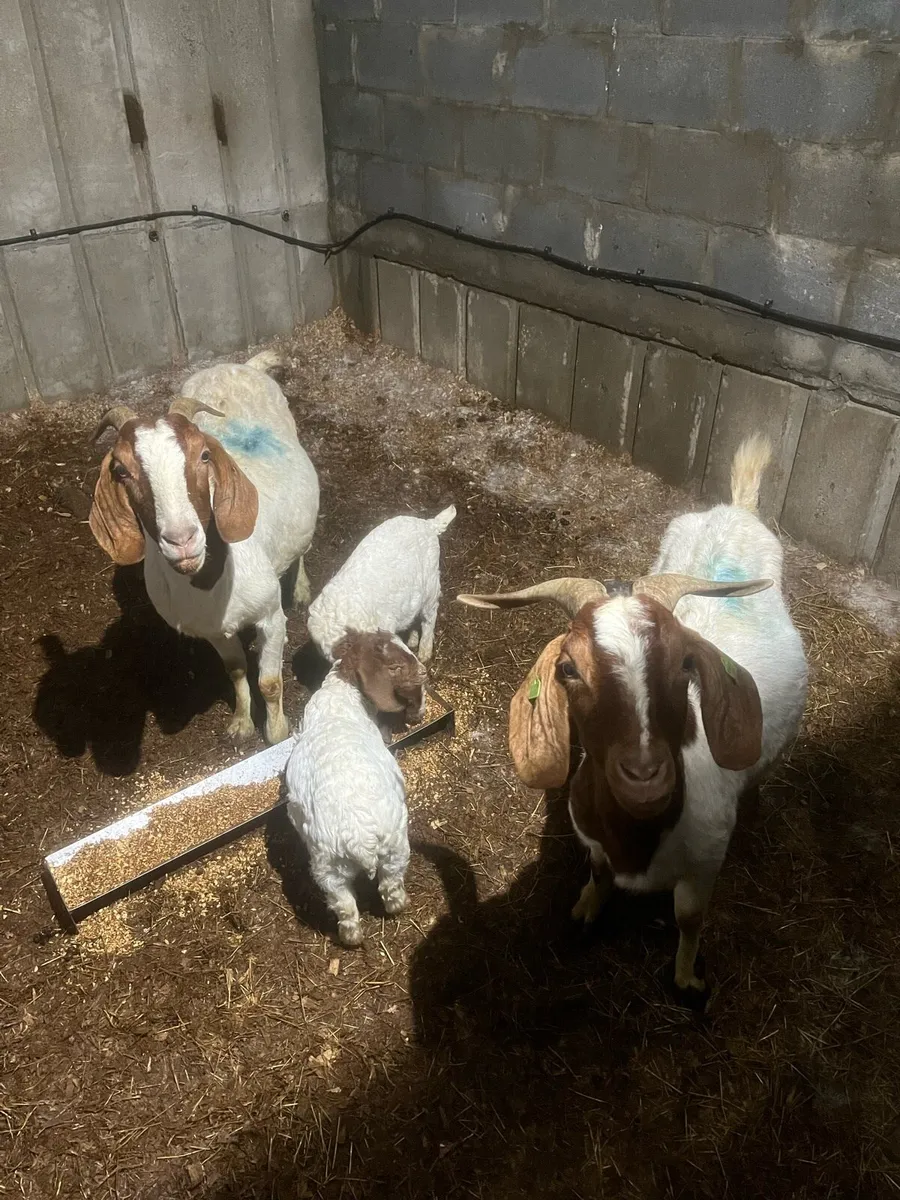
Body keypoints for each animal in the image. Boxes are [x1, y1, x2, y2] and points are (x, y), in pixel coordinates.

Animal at [88, 350, 319, 745]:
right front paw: (241, 723)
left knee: (299, 547)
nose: (182, 540)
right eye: (121, 471)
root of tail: (242, 366)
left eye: (204, 456)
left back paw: (301, 588)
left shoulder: (270, 616)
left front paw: (276, 733)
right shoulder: (212, 631)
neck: (211, 584)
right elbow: (236, 670)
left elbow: (270, 682)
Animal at [285, 630, 426, 946]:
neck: (341, 694)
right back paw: (404, 904)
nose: (424, 671)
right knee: (391, 889)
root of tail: (360, 838)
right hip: (396, 845)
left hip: (328, 868)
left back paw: (351, 936)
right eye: (395, 666)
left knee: (345, 907)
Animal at [458, 436, 808, 1002]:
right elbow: (599, 874)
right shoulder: (594, 839)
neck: (638, 840)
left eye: (685, 662)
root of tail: (736, 510)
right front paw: (585, 908)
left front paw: (687, 978)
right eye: (568, 668)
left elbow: (689, 919)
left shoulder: (706, 862)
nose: (644, 776)